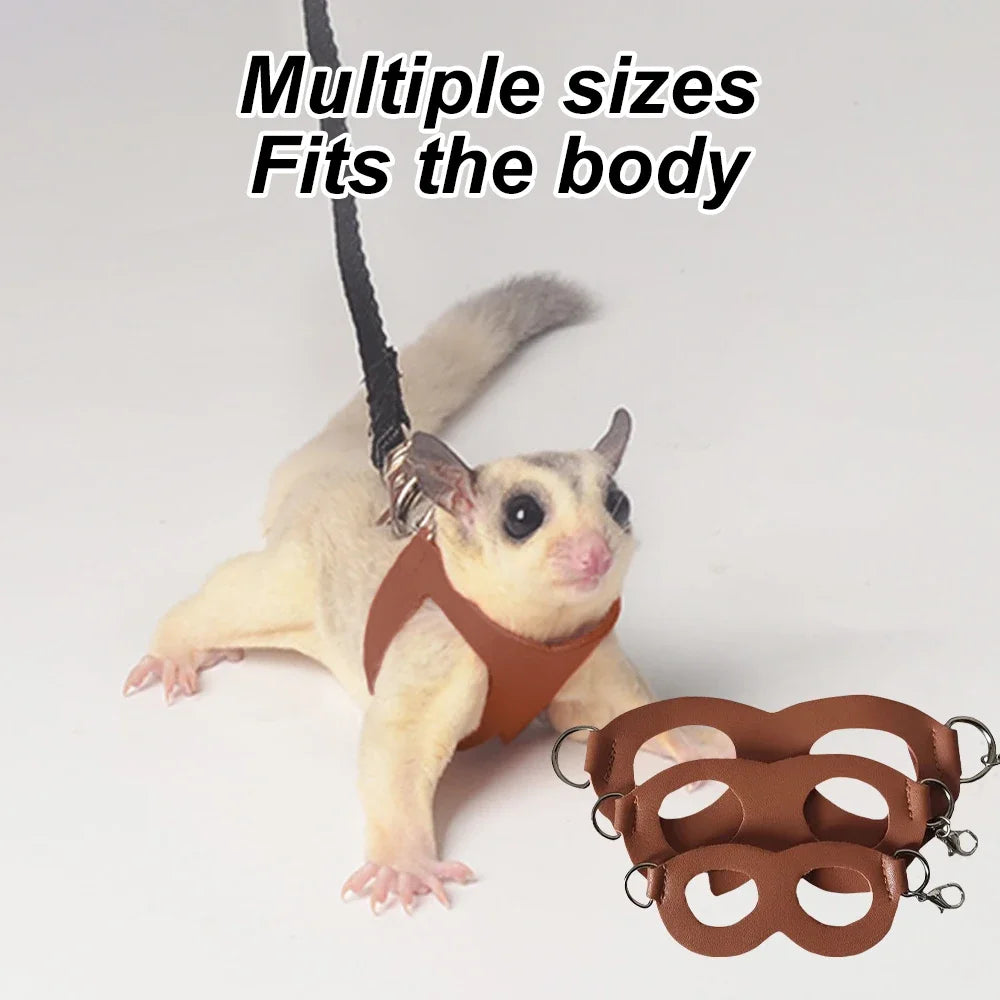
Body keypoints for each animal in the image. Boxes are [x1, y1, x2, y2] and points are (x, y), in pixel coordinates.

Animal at [123, 274, 729, 913]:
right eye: (522, 515)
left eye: (618, 504)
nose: (596, 554)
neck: (533, 635)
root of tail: (343, 474)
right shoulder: (438, 651)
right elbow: (396, 748)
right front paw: (404, 863)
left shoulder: (589, 651)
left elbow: (623, 709)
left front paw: (690, 741)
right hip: (295, 576)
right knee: (237, 596)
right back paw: (175, 647)